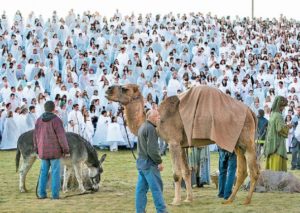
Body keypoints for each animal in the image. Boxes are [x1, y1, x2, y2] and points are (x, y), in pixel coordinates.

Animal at [106, 83, 260, 205]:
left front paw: (176, 201)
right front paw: (188, 199)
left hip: (247, 140)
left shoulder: (173, 142)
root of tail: (251, 112)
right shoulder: (181, 145)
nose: (108, 89)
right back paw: (229, 200)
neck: (158, 120)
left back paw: (247, 200)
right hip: (237, 143)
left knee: (254, 170)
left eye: (124, 88)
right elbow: (186, 172)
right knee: (242, 170)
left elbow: (176, 173)